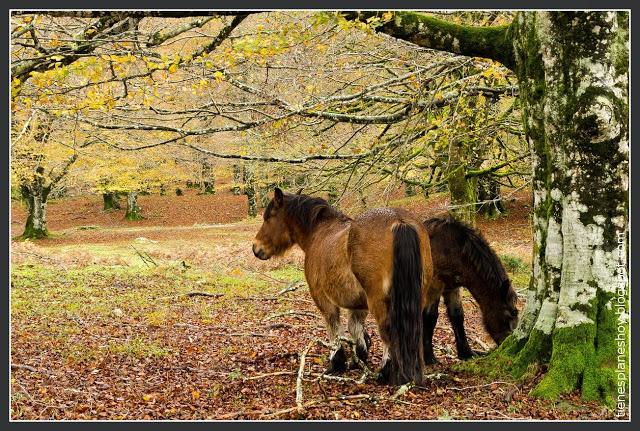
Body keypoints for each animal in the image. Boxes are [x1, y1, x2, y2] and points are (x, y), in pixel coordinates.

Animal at [252, 189, 438, 384]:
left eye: (268, 217)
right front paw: (359, 359)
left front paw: (337, 363)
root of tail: (399, 221)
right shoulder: (357, 305)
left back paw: (386, 373)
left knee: (388, 332)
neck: (319, 233)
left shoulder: (323, 299)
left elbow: (334, 328)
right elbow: (356, 329)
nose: (256, 248)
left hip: (379, 302)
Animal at [422, 216, 516, 364]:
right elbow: (430, 317)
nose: (507, 342)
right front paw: (429, 357)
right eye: (511, 314)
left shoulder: (452, 288)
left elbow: (457, 316)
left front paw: (466, 353)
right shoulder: (435, 285)